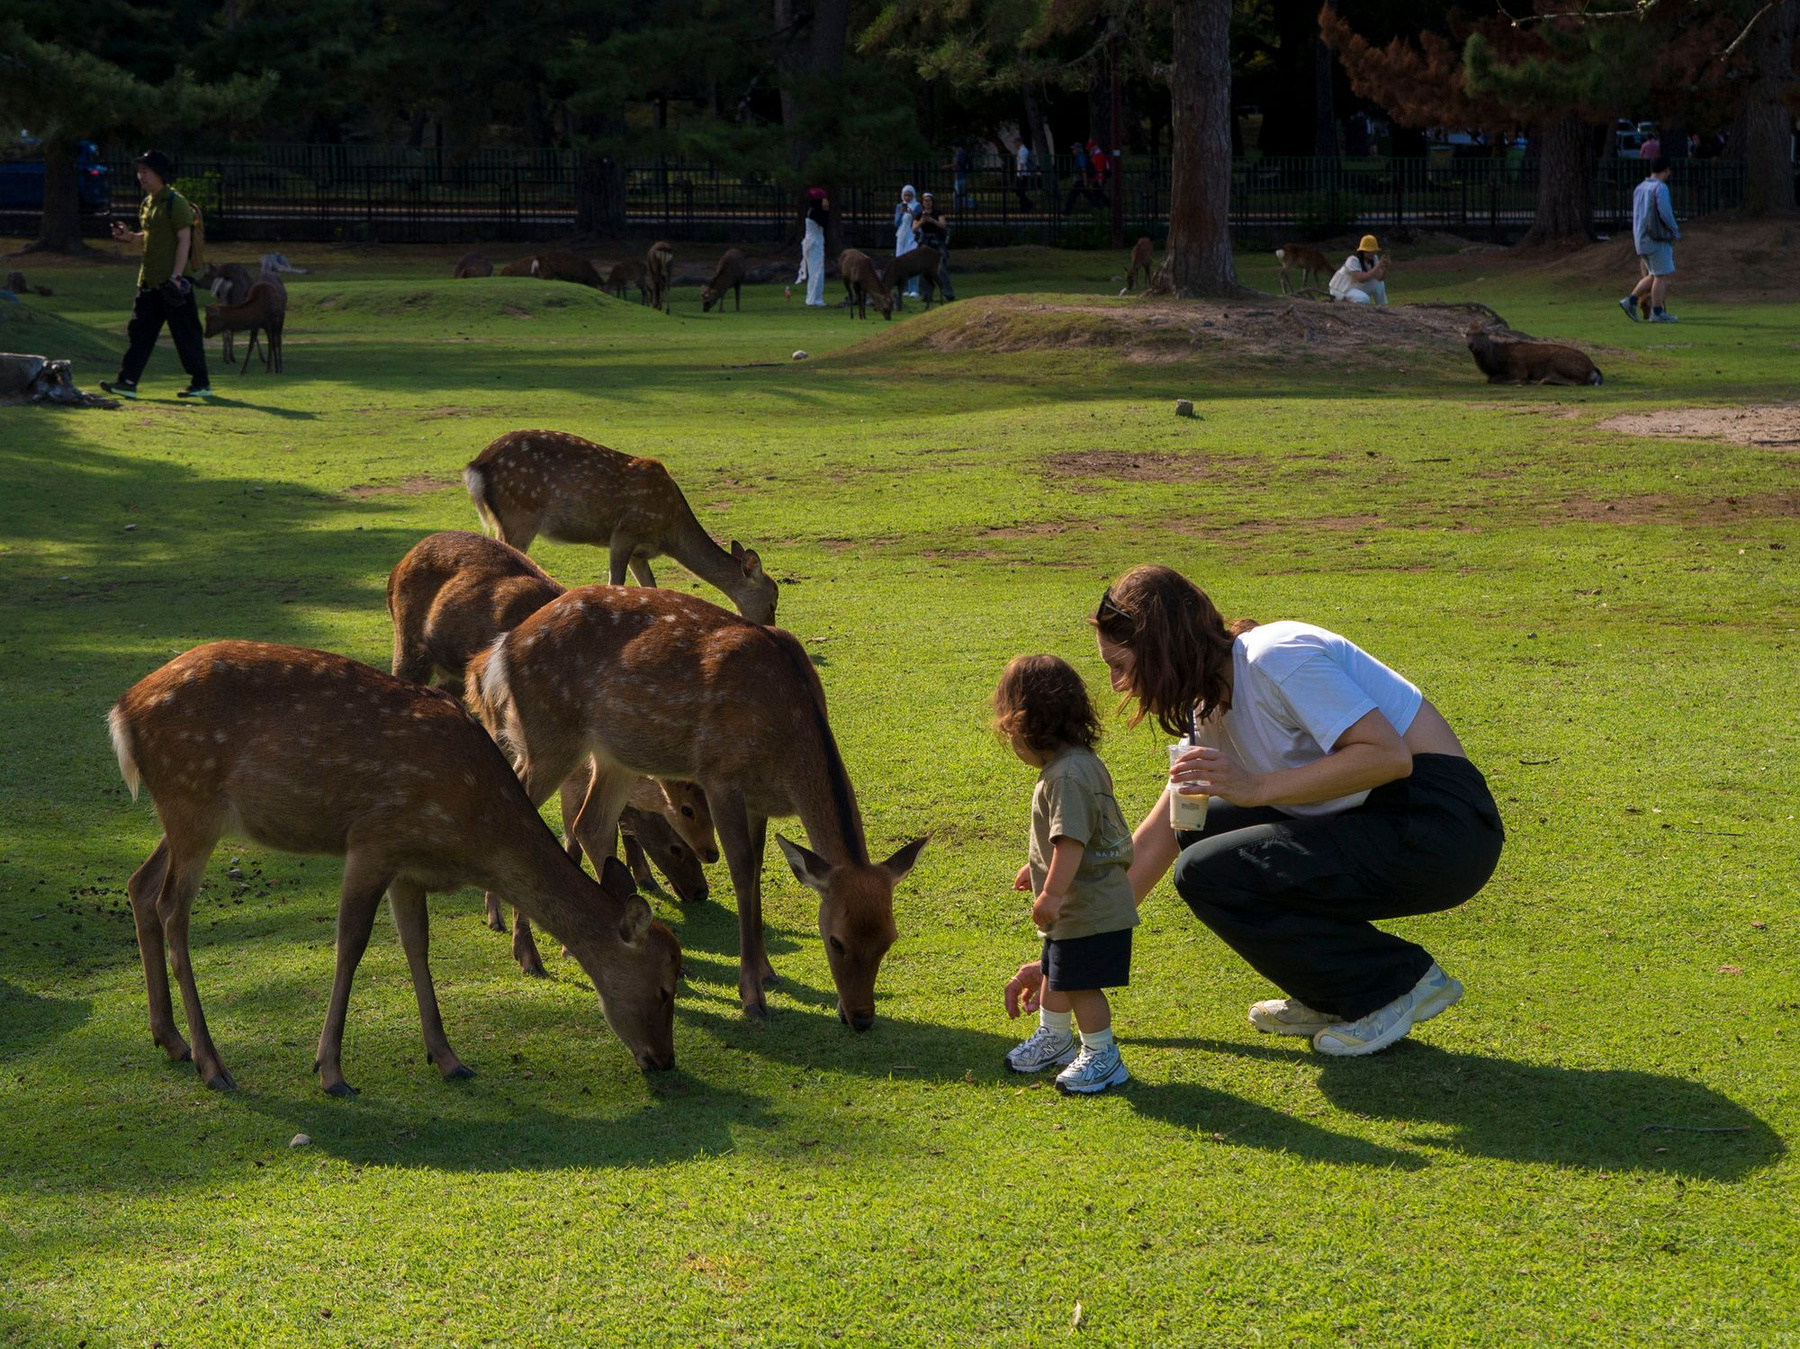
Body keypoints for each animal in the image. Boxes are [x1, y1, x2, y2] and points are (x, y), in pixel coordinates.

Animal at [106, 641, 681, 1097]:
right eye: (664, 988)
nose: (664, 1061)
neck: (472, 833)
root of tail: (121, 713)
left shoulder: (409, 867)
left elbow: (417, 945)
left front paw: (448, 1058)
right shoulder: (374, 841)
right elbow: (352, 944)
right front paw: (331, 1071)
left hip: (186, 815)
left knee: (140, 886)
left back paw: (171, 1039)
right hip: (193, 802)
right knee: (172, 907)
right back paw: (212, 1063)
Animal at [462, 430, 778, 624]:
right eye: (773, 601)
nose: (772, 626)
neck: (670, 532)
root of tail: (476, 466)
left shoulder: (640, 552)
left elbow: (650, 586)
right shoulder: (625, 531)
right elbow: (616, 580)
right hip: (520, 513)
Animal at [467, 585, 926, 1027]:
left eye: (890, 937)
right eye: (835, 940)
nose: (861, 1017)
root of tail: (500, 651)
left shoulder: (757, 800)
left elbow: (757, 868)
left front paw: (767, 971)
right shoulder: (721, 776)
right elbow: (741, 872)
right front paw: (752, 996)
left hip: (615, 754)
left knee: (590, 823)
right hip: (550, 735)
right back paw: (525, 952)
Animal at [1465, 326, 1603, 386]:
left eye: (1482, 333)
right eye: (1467, 334)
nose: (1471, 345)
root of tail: (1592, 368)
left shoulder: (1518, 368)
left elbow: (1496, 379)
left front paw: (1524, 381)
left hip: (1560, 363)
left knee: (1578, 381)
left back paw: (1545, 380)